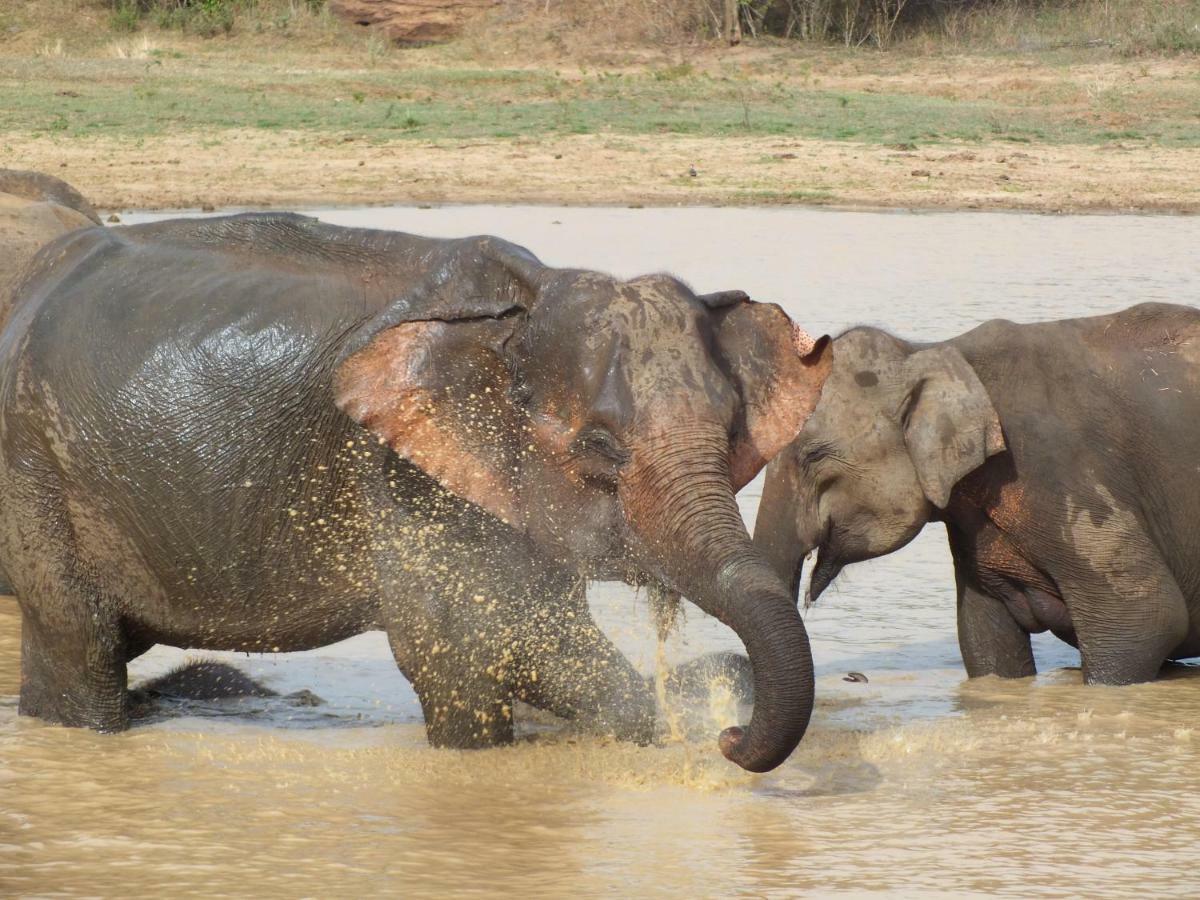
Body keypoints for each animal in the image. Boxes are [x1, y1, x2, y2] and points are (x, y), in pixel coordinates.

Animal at [0, 213, 825, 777]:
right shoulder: (406, 479)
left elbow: (541, 642)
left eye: (730, 430)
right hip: (34, 470)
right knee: (81, 648)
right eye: (599, 447)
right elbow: (470, 650)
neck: (520, 310)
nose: (727, 737)